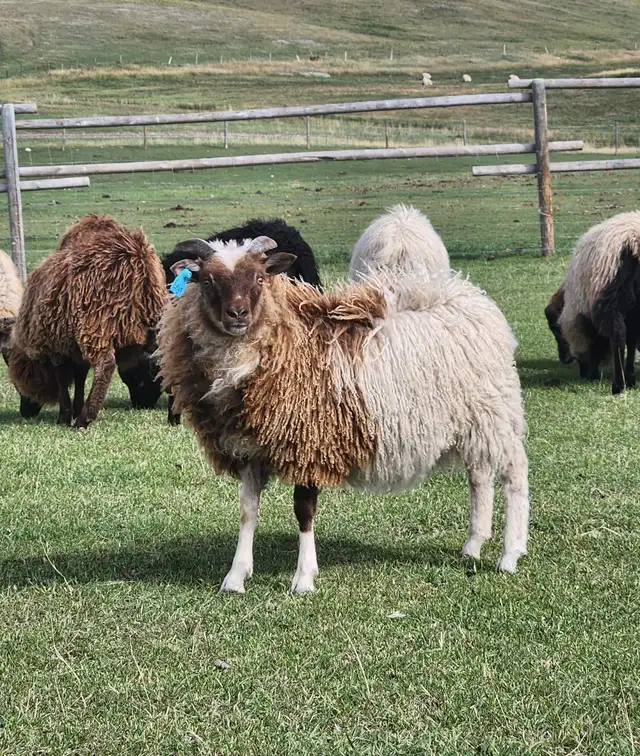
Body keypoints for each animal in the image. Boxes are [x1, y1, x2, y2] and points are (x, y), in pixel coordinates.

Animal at [8, 214, 167, 427]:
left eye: (18, 384)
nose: (25, 412)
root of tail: (136, 260)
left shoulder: (56, 342)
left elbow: (62, 376)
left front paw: (65, 416)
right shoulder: (73, 344)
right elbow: (81, 374)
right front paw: (75, 408)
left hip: (97, 322)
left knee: (106, 365)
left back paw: (85, 418)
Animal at [557, 211, 640, 394]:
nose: (584, 374)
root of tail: (634, 243)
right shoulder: (633, 313)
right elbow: (631, 342)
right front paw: (631, 378)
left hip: (611, 299)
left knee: (617, 337)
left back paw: (618, 385)